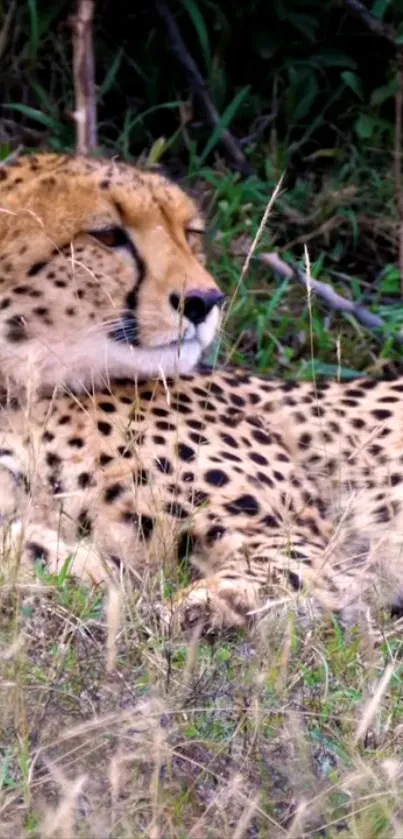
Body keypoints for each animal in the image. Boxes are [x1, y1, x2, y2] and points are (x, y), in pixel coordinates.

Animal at [0, 154, 403, 632]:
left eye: (189, 234)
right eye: (107, 236)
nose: (205, 300)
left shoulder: (308, 542)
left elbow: (275, 577)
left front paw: (193, 608)